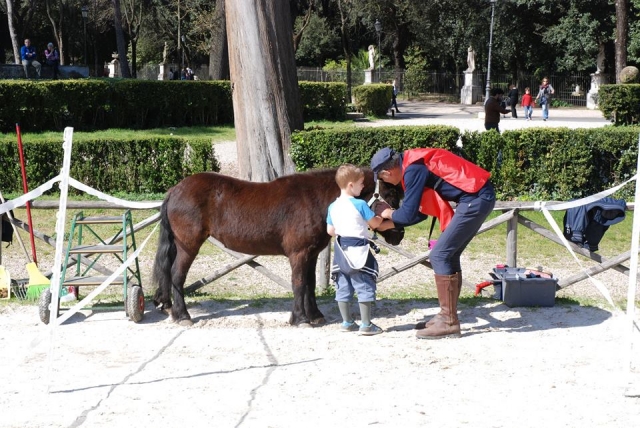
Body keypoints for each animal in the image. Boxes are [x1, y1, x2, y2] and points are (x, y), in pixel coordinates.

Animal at [151, 168, 404, 327]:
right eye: (390, 193)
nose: (399, 233)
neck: (315, 201)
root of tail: (176, 189)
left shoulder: (311, 253)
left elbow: (310, 283)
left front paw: (314, 315)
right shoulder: (299, 253)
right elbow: (299, 283)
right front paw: (300, 319)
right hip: (188, 245)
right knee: (176, 275)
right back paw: (183, 315)